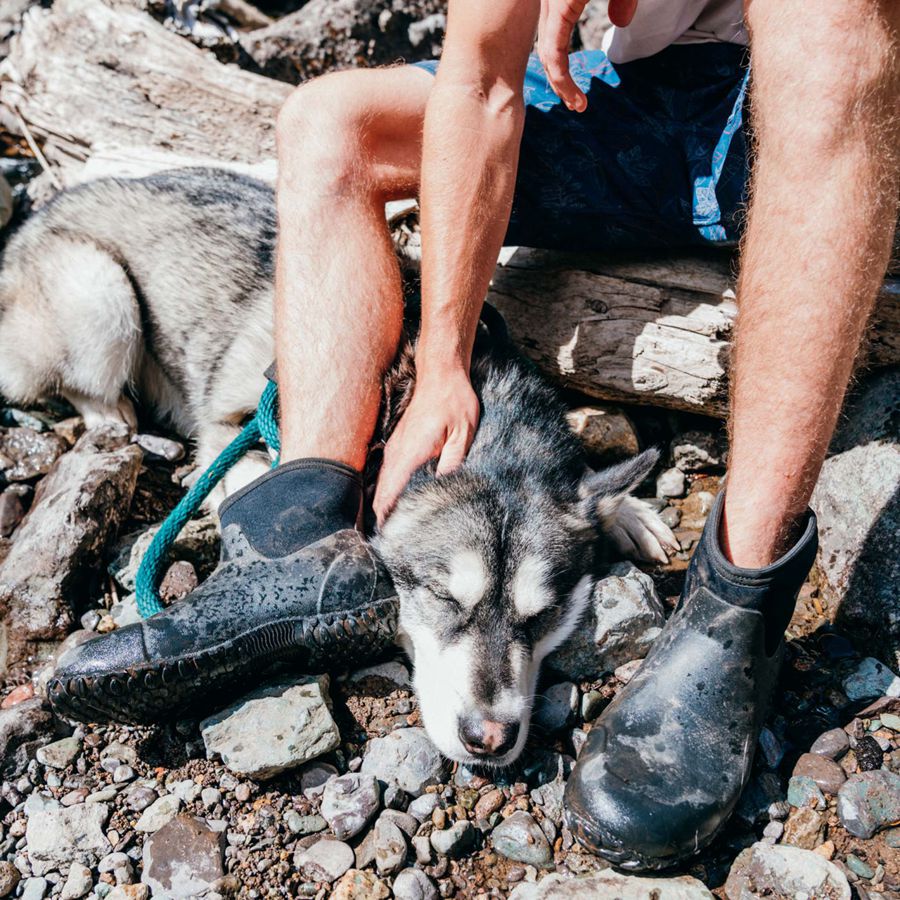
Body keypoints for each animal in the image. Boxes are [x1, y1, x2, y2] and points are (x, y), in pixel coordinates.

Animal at [0, 171, 676, 768]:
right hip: (102, 298)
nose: (489, 738)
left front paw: (629, 512)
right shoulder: (230, 433)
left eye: (540, 618)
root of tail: (37, 217)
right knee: (74, 382)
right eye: (441, 598)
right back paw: (115, 416)